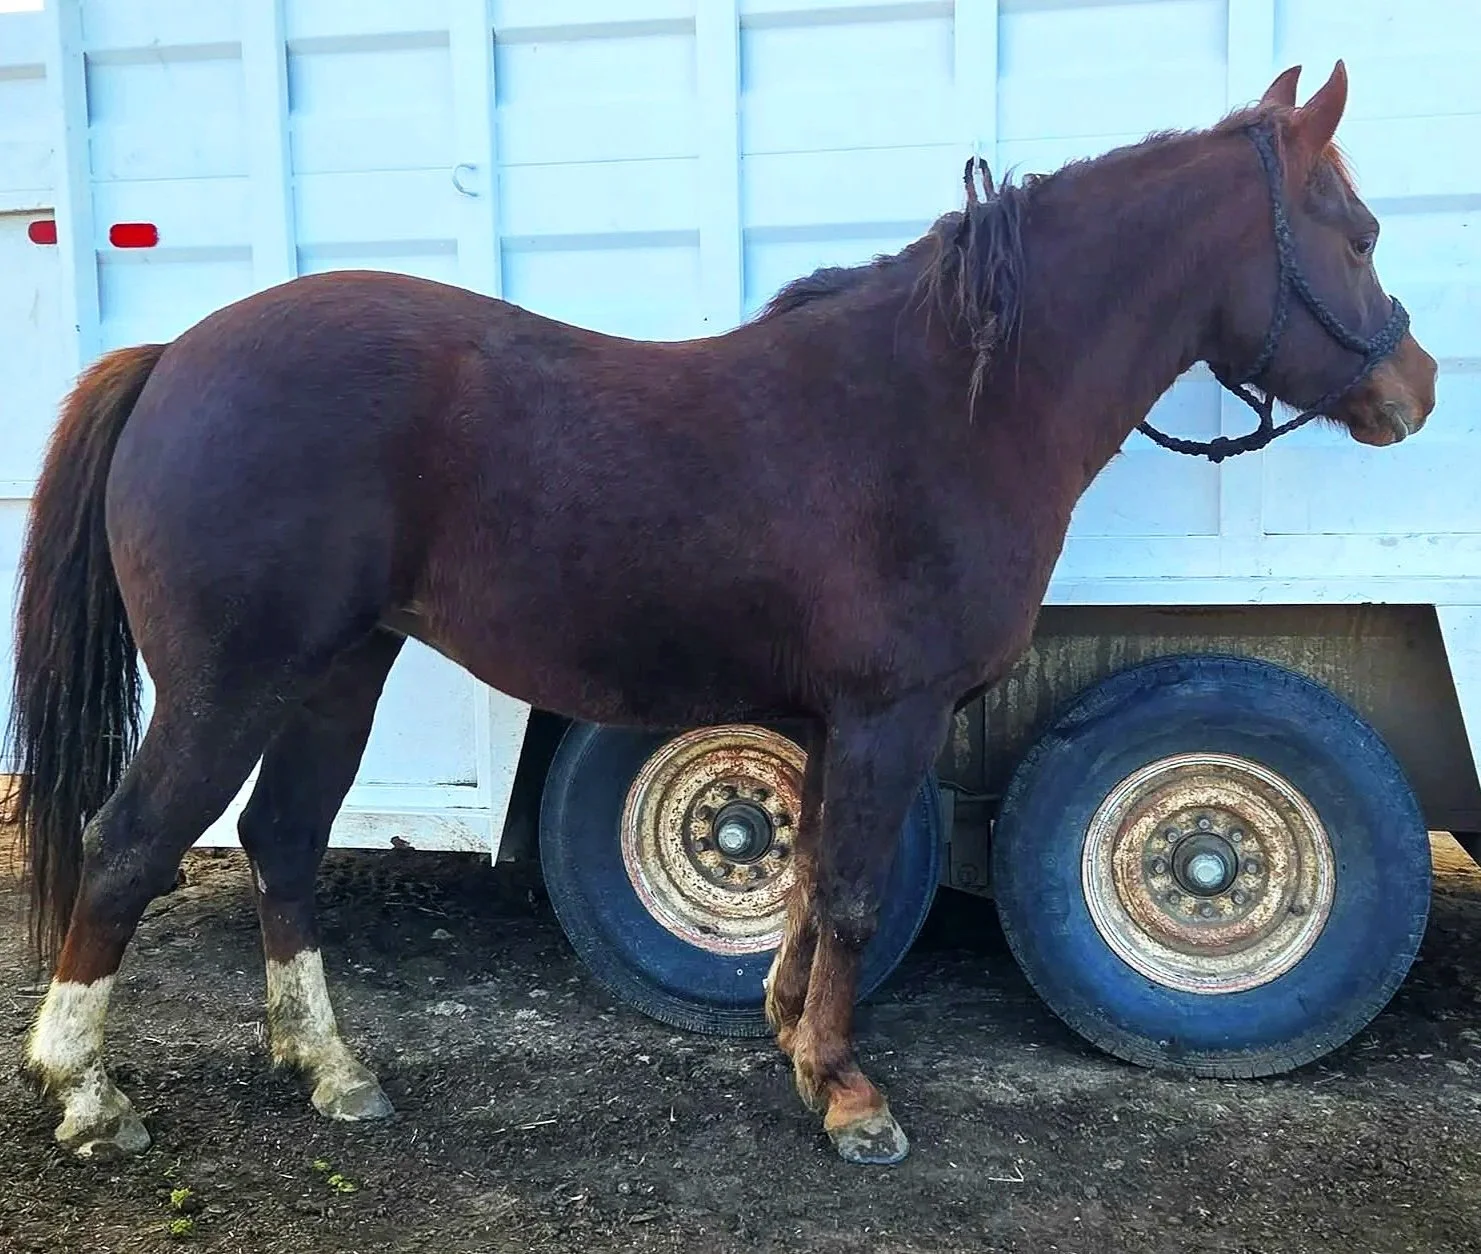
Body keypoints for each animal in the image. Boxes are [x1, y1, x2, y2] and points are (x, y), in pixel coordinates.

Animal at [5, 60, 1435, 1166]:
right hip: (227, 683)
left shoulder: (833, 723)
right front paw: (847, 1096)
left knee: (284, 841)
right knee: (127, 843)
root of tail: (176, 359)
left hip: (337, 674)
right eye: (1358, 234)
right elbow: (848, 890)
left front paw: (789, 1031)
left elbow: (806, 882)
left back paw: (331, 1071)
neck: (946, 408)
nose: (1413, 388)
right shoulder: (889, 716)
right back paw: (86, 1091)